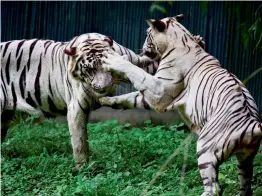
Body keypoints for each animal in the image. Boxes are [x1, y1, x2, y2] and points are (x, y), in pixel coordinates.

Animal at [0, 33, 156, 168]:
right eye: (89, 69)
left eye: (108, 68)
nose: (104, 87)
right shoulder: (76, 107)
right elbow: (79, 140)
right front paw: (83, 168)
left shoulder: (135, 62)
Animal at [99, 15, 262, 196]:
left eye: (148, 34)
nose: (142, 49)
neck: (180, 39)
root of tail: (253, 125)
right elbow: (131, 97)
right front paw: (106, 101)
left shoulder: (160, 91)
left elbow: (136, 73)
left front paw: (113, 60)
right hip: (245, 161)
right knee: (246, 186)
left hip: (206, 148)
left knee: (214, 187)